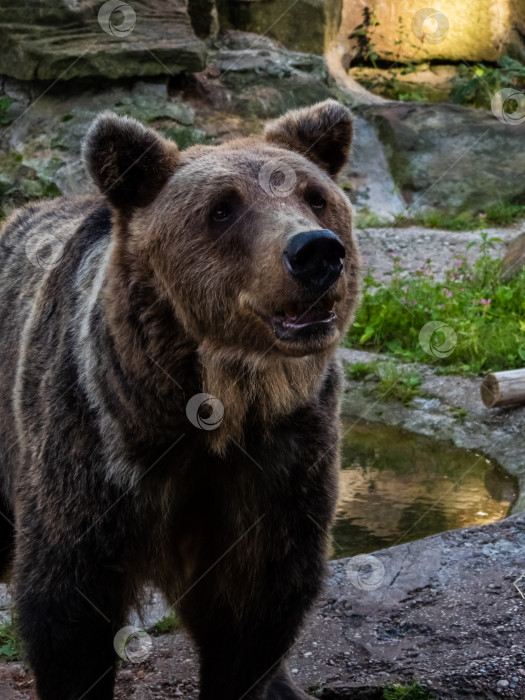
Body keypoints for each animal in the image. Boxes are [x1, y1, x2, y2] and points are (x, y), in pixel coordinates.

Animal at [0, 98, 358, 700]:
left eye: (316, 197)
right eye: (222, 209)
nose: (315, 252)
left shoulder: (281, 457)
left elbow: (258, 604)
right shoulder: (95, 440)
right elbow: (67, 606)